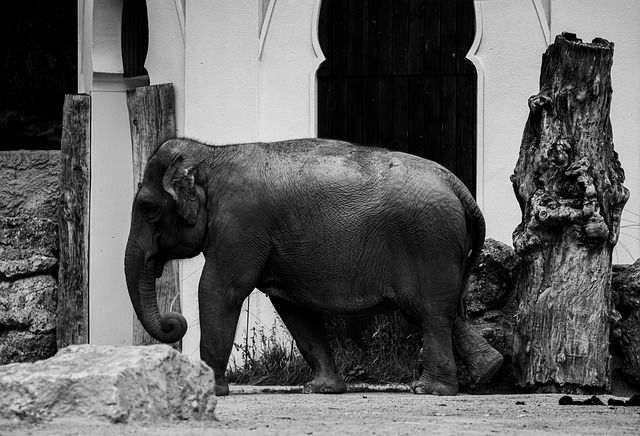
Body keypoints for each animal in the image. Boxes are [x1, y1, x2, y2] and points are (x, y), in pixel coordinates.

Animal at [126, 138, 504, 396]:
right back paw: (489, 370)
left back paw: (429, 390)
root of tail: (459, 187)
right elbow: (293, 308)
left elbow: (220, 290)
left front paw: (210, 390)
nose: (174, 321)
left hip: (429, 242)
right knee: (439, 311)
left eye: (147, 208)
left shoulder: (239, 223)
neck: (212, 154)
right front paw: (321, 388)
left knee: (431, 313)